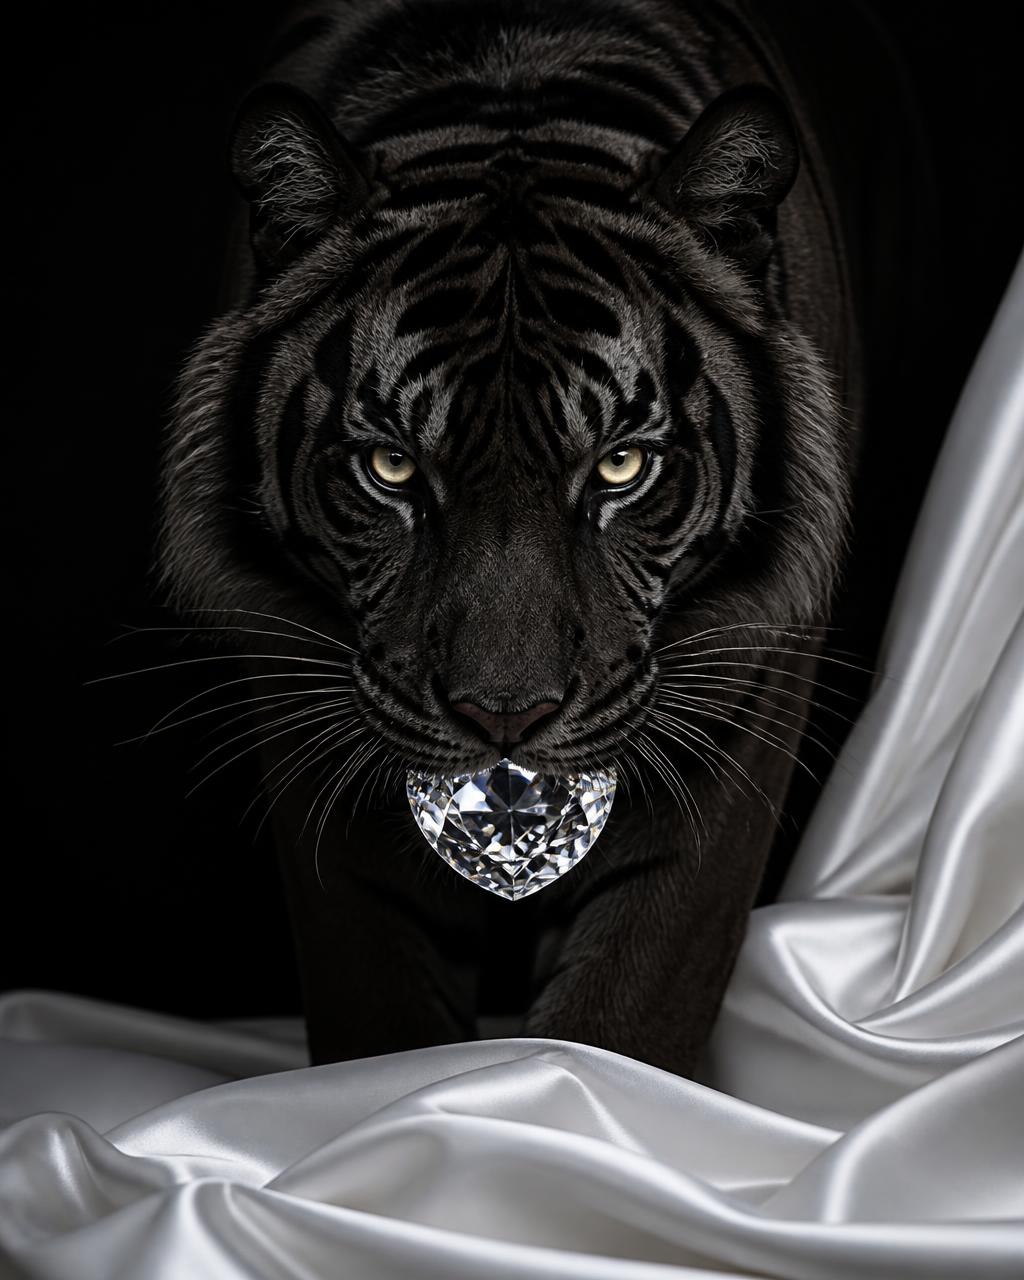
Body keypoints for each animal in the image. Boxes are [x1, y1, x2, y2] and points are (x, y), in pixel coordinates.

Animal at [156, 0, 907, 1074]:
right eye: (390, 468)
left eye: (620, 467)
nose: (504, 717)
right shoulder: (303, 709)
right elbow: (377, 1006)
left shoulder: (738, 710)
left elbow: (628, 1009)